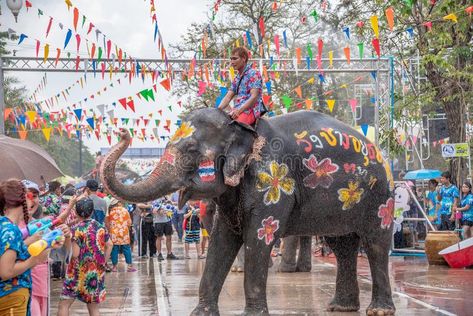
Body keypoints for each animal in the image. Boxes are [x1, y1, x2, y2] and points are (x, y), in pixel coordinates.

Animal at [101, 107, 396, 314]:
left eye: (192, 149)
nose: (123, 132)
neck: (241, 130)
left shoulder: (273, 178)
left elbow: (259, 237)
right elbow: (221, 239)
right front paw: (201, 313)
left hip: (381, 197)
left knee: (375, 244)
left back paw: (379, 310)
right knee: (342, 246)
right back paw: (340, 308)